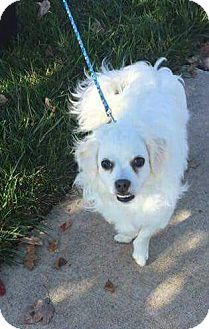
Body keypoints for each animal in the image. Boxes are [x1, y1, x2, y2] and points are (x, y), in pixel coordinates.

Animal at [71, 57, 189, 266]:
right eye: (105, 164)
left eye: (139, 161)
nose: (122, 184)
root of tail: (152, 71)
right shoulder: (115, 209)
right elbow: (129, 226)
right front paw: (125, 236)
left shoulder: (161, 210)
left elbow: (144, 234)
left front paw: (140, 253)